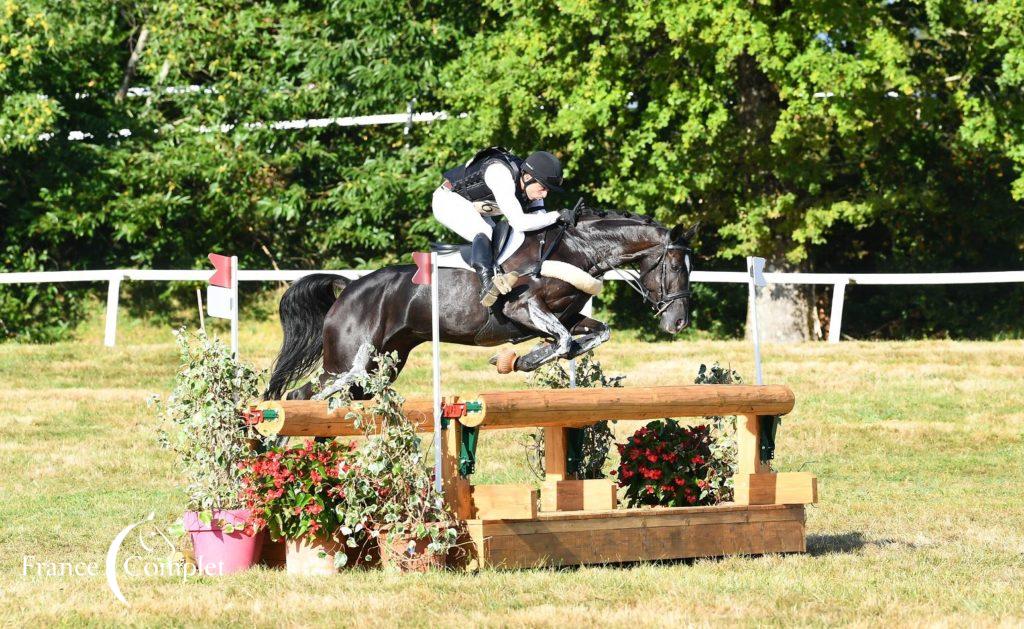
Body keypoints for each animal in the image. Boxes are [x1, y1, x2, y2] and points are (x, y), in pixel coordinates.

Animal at [264, 210, 700, 401]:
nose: (678, 323)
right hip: (347, 365)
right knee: (300, 397)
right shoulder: (523, 309)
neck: (578, 250)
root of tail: (350, 288)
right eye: (675, 265)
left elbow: (591, 336)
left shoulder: (568, 315)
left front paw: (522, 359)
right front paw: (519, 361)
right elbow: (561, 341)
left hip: (379, 367)